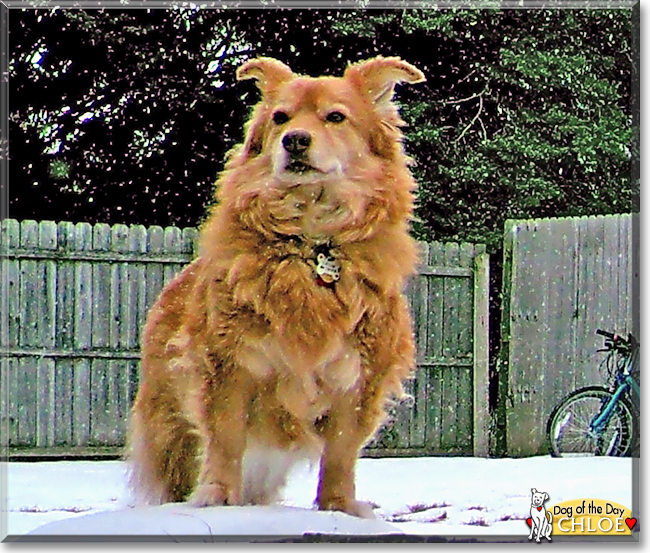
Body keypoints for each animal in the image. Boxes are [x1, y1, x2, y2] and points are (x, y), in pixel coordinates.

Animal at [126, 54, 426, 516]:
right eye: (280, 118)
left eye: (335, 117)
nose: (295, 140)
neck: (310, 245)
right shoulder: (227, 367)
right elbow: (226, 439)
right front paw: (217, 496)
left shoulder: (358, 379)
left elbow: (341, 452)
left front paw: (339, 505)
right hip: (170, 431)